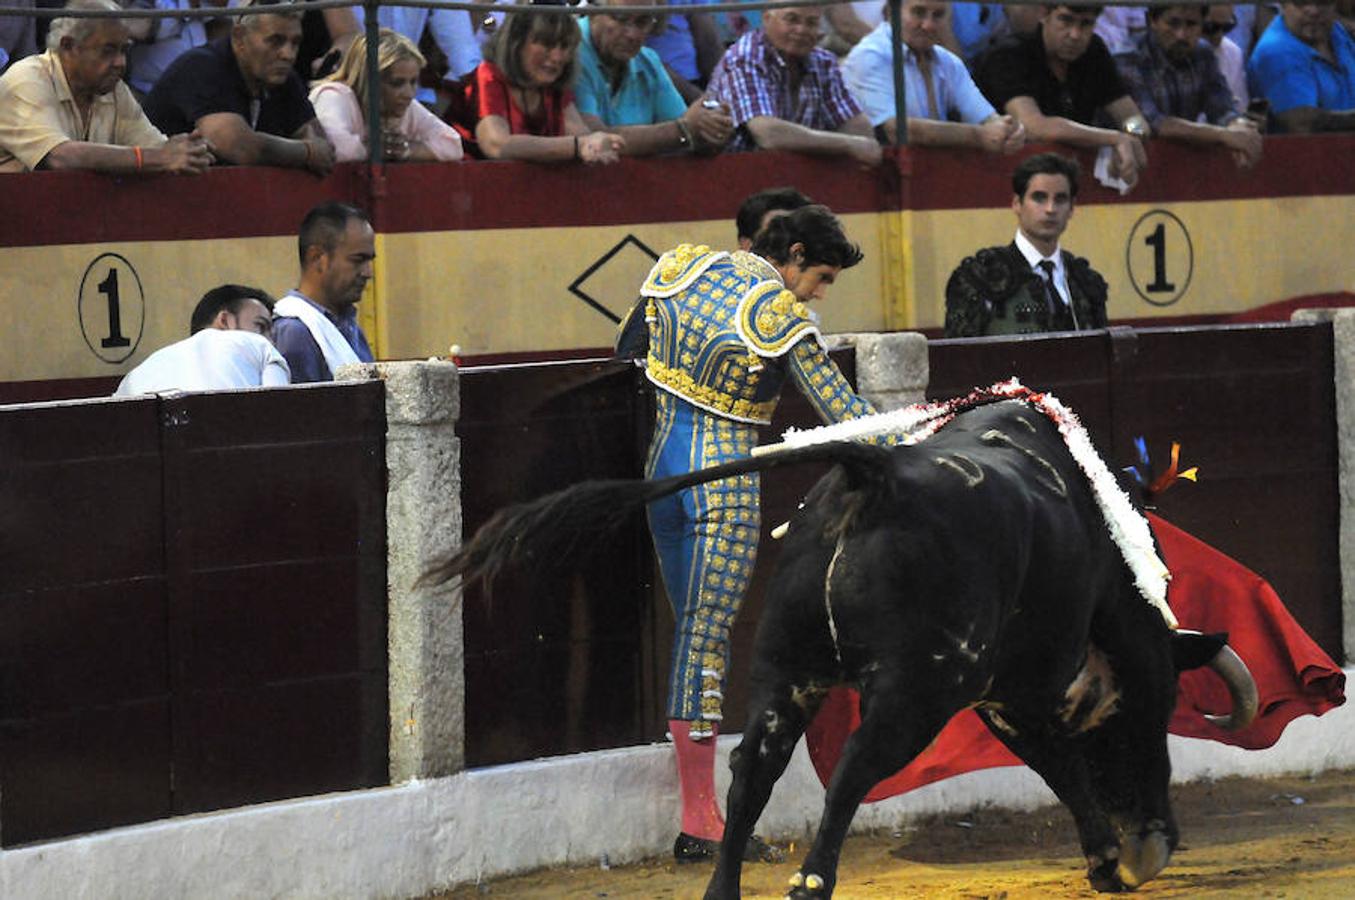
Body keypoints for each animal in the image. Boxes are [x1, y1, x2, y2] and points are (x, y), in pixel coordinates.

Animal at [428, 401, 1252, 900]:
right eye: (1166, 704)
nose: (1153, 841)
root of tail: (872, 474)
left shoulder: (1000, 696)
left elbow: (1058, 764)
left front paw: (1110, 857)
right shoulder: (1019, 687)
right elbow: (1064, 763)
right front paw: (1117, 856)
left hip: (785, 672)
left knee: (752, 769)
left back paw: (724, 887)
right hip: (917, 690)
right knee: (856, 762)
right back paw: (811, 881)